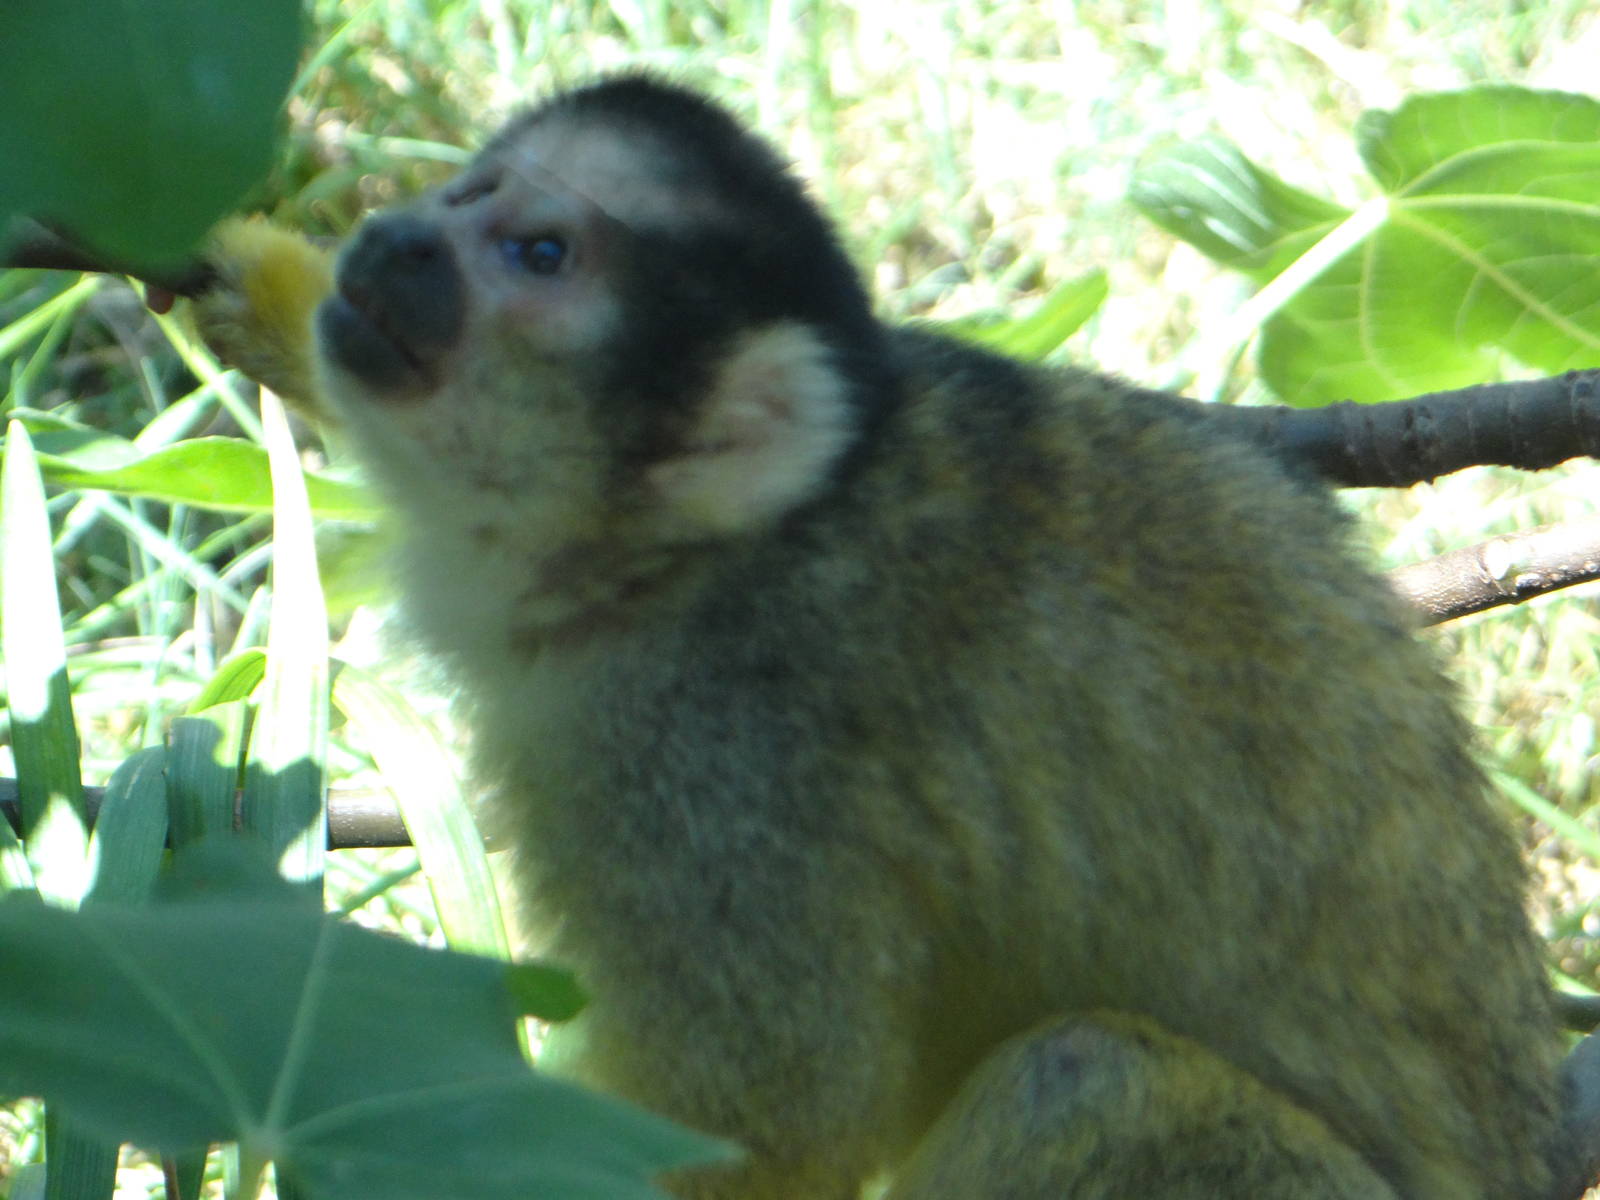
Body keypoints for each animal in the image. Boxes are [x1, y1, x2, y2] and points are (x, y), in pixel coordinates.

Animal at [184, 77, 1575, 1199]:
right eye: (470, 195)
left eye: (537, 254)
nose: (399, 236)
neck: (688, 553)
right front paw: (271, 288)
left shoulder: (713, 757)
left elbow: (772, 1121)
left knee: (1088, 1081)